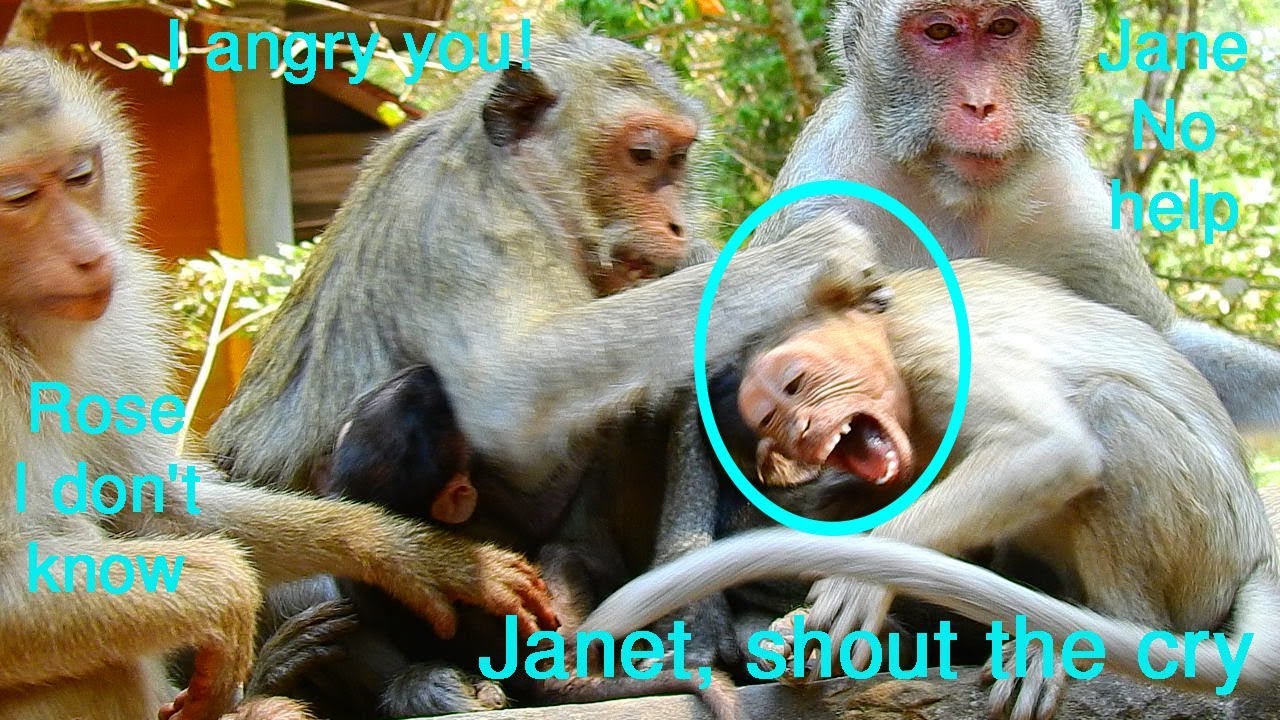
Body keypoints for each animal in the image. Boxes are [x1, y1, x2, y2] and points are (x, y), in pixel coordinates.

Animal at [0, 46, 558, 720]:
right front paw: (227, 595)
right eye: (19, 197)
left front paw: (408, 553)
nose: (90, 253)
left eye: (80, 176)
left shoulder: (117, 322)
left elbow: (158, 508)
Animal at [579, 255, 1280, 720]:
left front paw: (857, 581)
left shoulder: (935, 352)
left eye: (797, 383)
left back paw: (1099, 637)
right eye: (770, 418)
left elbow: (1049, 447)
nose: (800, 430)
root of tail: (1257, 551)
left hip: (1208, 550)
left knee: (1110, 407)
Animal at [748, 0, 1280, 436]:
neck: (962, 201)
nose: (981, 104)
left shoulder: (1080, 213)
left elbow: (1159, 347)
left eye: (1003, 26)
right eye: (939, 31)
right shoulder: (819, 204)